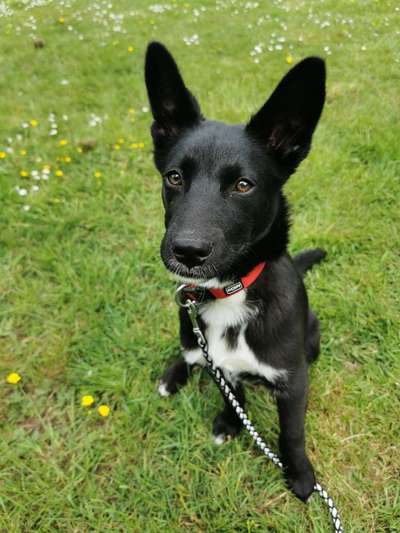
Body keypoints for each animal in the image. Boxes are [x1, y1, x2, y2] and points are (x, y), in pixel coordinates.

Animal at [145, 42, 326, 502]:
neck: (231, 291)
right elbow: (231, 393)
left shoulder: (294, 380)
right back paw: (173, 375)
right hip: (187, 332)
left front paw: (300, 475)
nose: (187, 251)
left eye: (243, 185)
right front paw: (230, 423)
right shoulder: (216, 362)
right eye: (174, 177)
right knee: (189, 353)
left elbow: (291, 432)